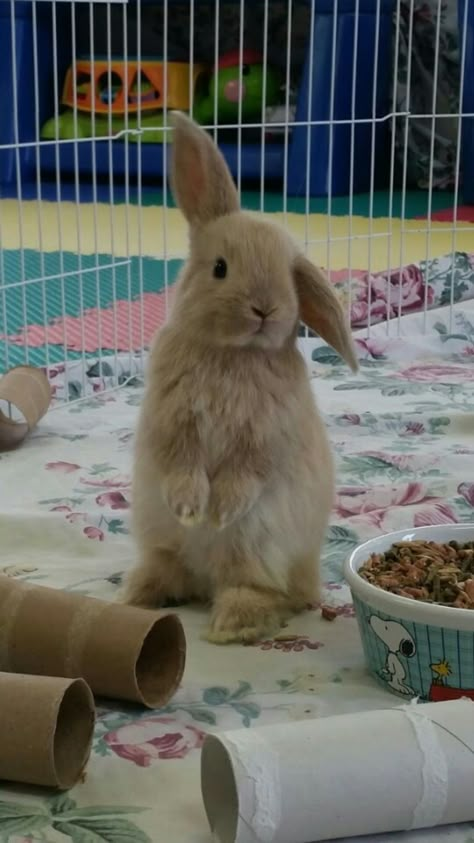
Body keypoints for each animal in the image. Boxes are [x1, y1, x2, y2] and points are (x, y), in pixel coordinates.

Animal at [120, 110, 358, 640]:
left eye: (289, 277)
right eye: (220, 268)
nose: (265, 309)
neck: (232, 353)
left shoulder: (265, 436)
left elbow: (247, 471)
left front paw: (219, 510)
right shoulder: (172, 422)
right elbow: (182, 462)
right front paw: (191, 509)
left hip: (258, 545)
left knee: (260, 589)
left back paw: (232, 624)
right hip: (154, 530)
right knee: (172, 571)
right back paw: (137, 596)